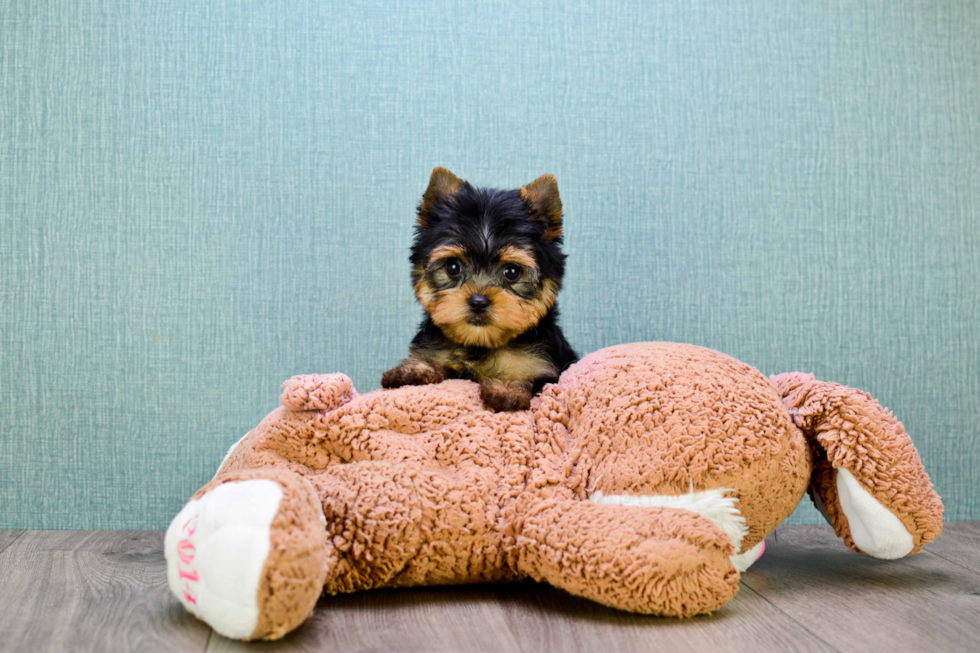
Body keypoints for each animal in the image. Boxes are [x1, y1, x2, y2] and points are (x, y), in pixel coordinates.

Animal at [380, 168, 580, 412]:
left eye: (512, 272)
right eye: (453, 267)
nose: (477, 301)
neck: (480, 344)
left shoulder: (542, 366)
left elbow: (523, 375)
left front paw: (506, 389)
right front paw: (413, 370)